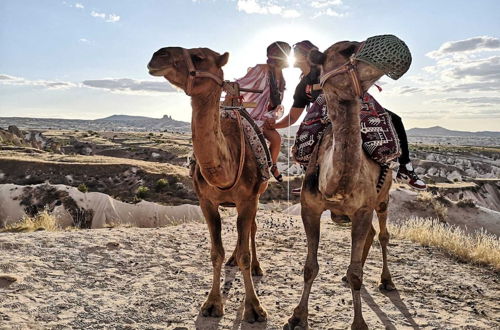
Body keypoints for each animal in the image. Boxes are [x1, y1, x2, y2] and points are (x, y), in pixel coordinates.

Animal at [148, 46, 270, 322]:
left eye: (199, 57)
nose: (157, 55)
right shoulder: (206, 202)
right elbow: (216, 253)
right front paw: (212, 303)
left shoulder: (248, 200)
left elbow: (245, 253)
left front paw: (254, 308)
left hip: (257, 196)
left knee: (252, 230)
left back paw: (257, 267)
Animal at [286, 36, 410, 330]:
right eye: (347, 49)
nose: (396, 45)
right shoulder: (309, 209)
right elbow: (310, 267)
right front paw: (297, 316)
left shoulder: (363, 209)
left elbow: (355, 274)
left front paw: (359, 323)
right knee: (373, 235)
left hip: (383, 198)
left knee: (383, 235)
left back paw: (387, 281)